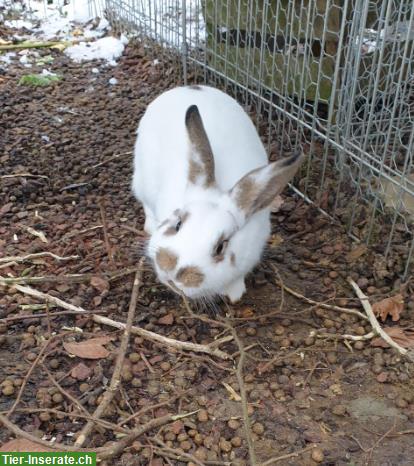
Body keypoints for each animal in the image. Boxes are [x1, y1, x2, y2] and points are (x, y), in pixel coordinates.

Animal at [133, 84, 304, 302]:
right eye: (178, 225)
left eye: (220, 247)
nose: (171, 270)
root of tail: (187, 87)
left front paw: (235, 294)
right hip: (142, 178)